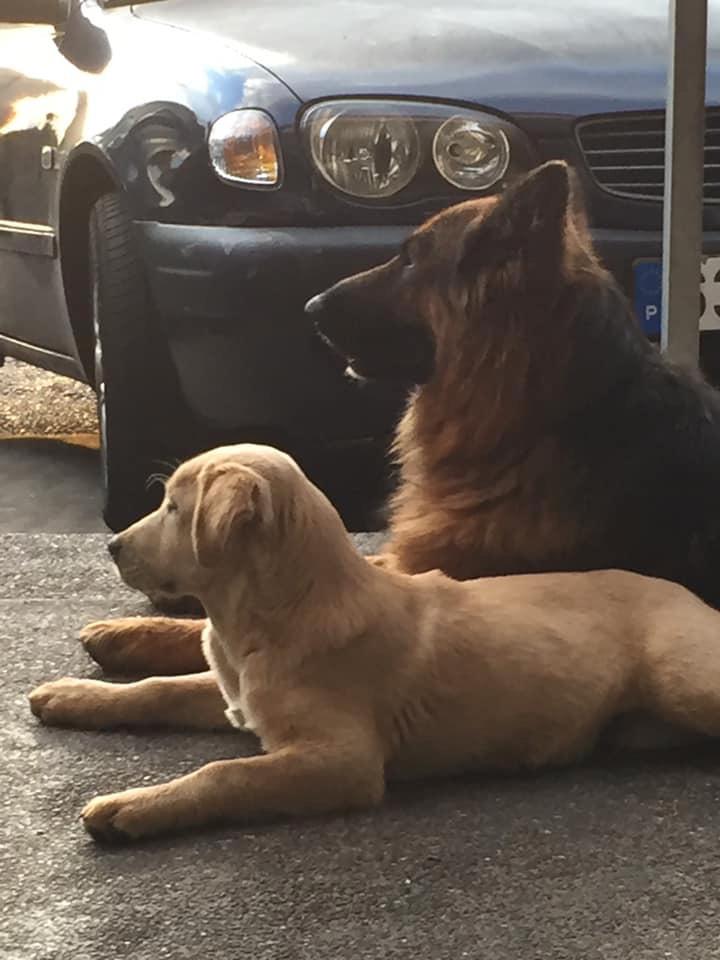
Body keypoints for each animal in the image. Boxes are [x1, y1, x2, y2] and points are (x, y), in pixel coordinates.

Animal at [28, 444, 720, 841]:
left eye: (174, 508)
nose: (112, 547)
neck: (274, 615)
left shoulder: (344, 761)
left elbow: (225, 773)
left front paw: (133, 807)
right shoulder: (236, 697)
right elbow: (156, 689)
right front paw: (74, 695)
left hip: (680, 679)